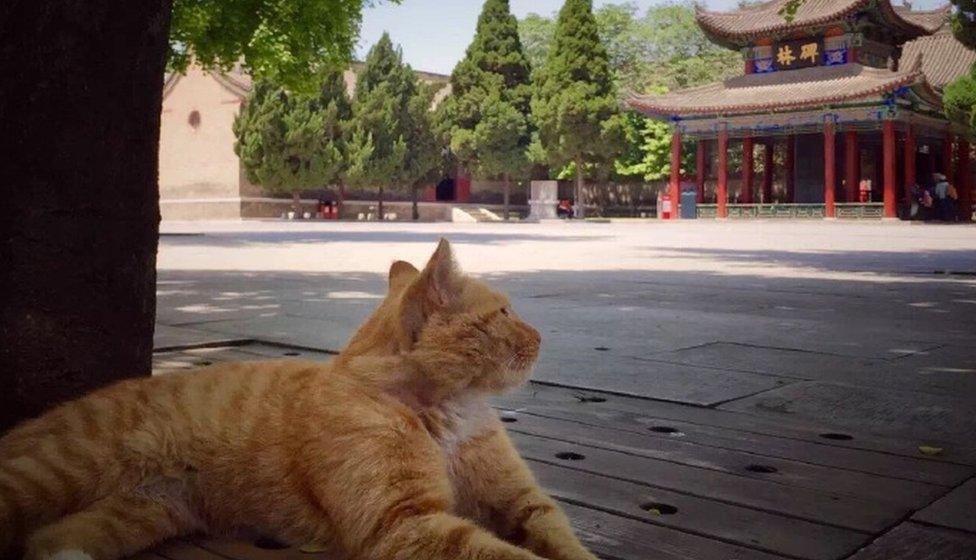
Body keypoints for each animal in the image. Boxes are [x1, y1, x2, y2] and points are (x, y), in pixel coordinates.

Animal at [0, 241, 600, 560]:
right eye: (504, 313)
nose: (542, 337)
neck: (449, 411)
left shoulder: (521, 503)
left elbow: (563, 542)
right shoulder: (405, 524)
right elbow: (511, 556)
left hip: (139, 512)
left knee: (48, 542)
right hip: (46, 475)